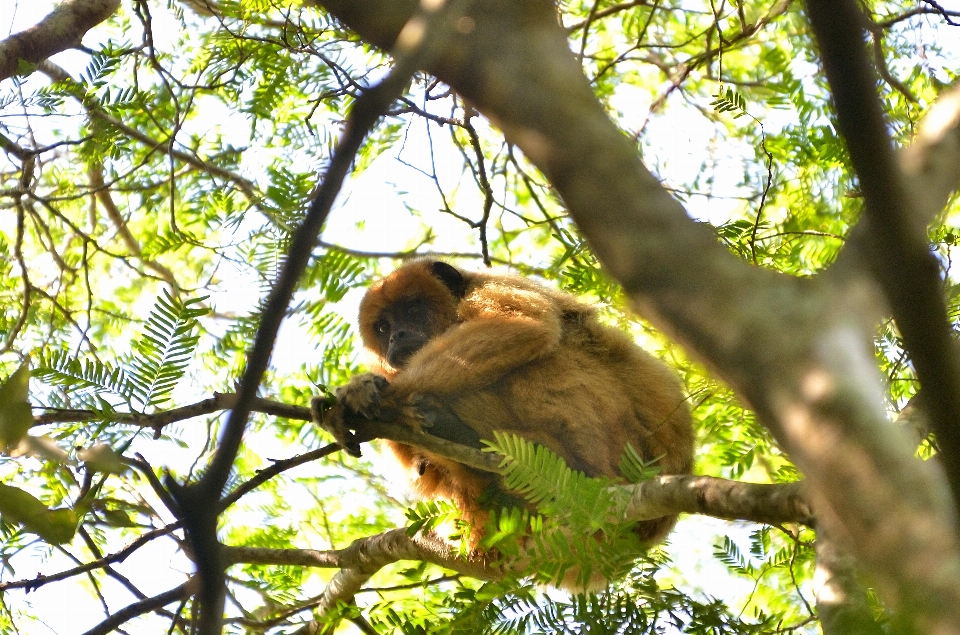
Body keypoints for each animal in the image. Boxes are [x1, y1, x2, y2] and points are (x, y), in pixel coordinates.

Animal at [316, 260, 688, 548]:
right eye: (383, 326)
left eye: (412, 310)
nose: (396, 336)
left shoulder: (492, 288)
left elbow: (523, 327)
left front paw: (371, 400)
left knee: (545, 355)